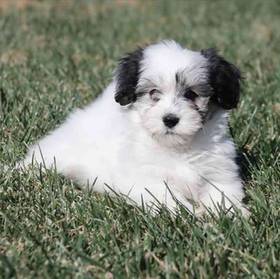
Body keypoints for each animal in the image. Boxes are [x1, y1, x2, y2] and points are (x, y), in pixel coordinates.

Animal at [20, 41, 246, 217]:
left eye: (191, 94)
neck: (177, 149)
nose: (170, 119)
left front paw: (231, 214)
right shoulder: (147, 180)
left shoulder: (220, 173)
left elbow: (223, 195)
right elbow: (167, 198)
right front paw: (188, 215)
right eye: (153, 93)